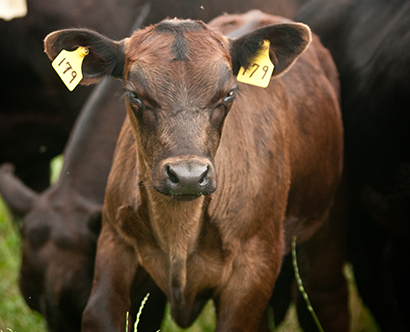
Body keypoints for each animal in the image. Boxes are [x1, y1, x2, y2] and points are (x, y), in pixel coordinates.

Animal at [44, 9, 344, 332]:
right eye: (135, 95)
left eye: (228, 94)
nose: (188, 176)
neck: (179, 233)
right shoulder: (115, 242)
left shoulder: (254, 266)